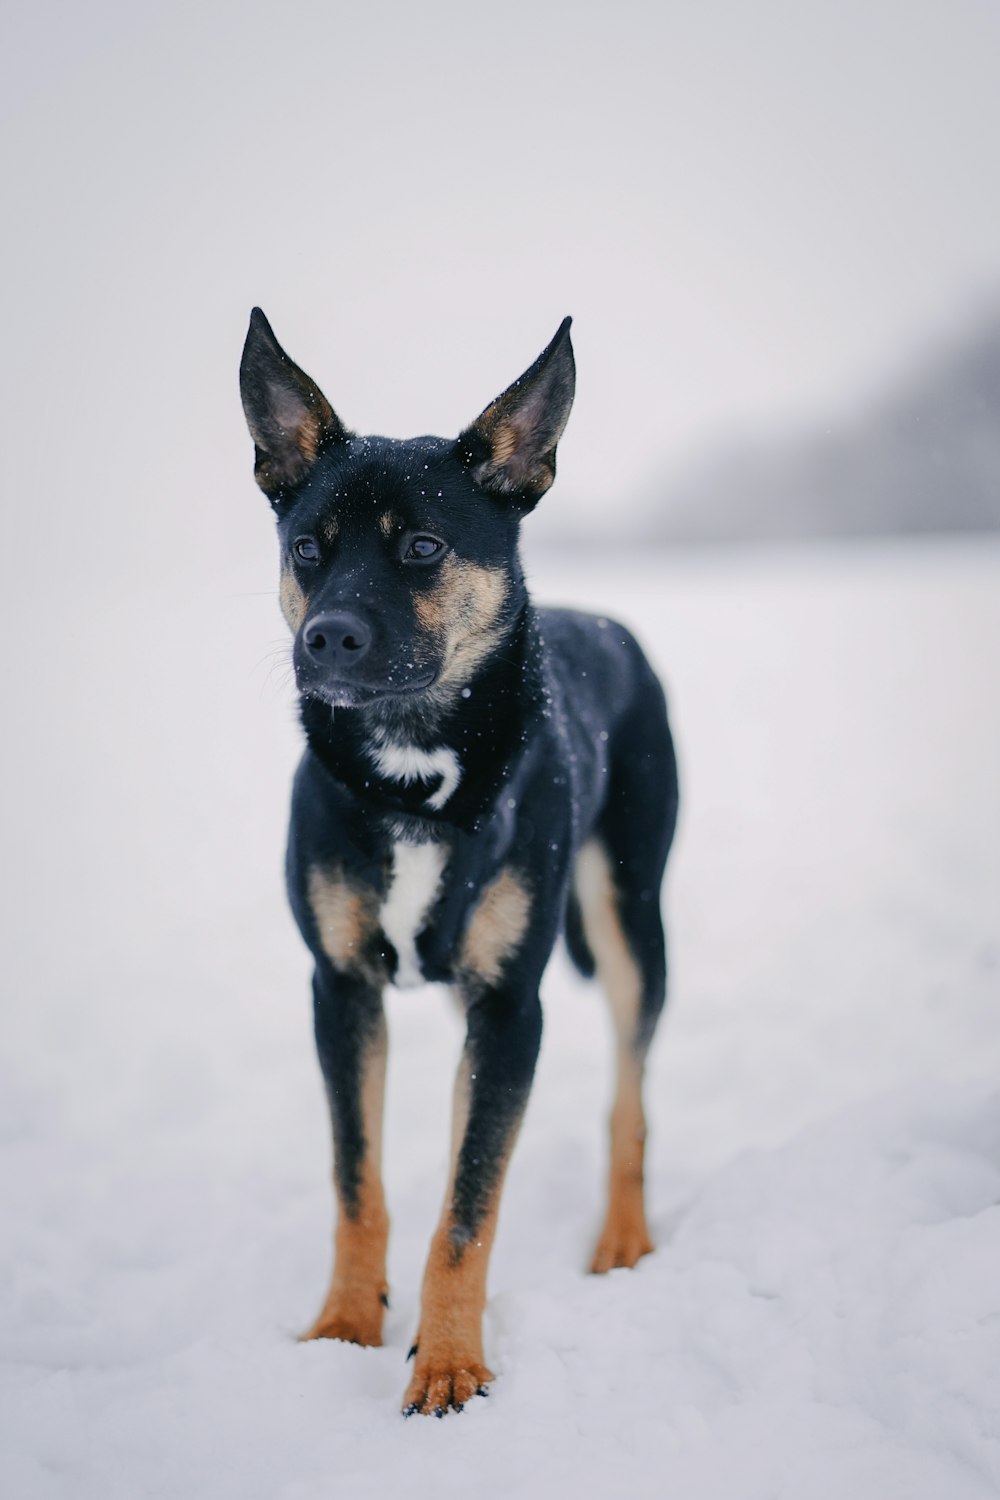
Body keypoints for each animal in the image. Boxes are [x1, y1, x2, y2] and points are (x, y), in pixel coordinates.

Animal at [239, 310, 683, 1410]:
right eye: (307, 548)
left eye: (424, 548)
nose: (327, 638)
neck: (414, 770)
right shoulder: (341, 989)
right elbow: (360, 1181)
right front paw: (345, 1330)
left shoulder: (511, 1005)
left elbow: (469, 1207)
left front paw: (446, 1365)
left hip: (630, 922)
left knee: (629, 1101)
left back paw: (623, 1238)